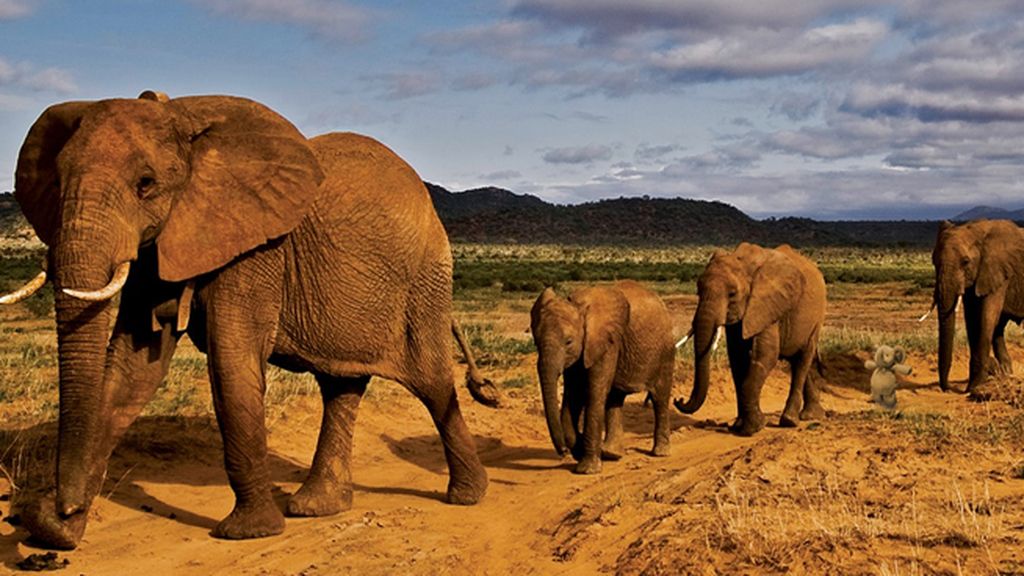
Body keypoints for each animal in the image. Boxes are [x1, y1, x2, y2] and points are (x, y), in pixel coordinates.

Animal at [3, 90, 499, 545]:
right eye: (57, 182)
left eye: (146, 184)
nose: (57, 510)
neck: (181, 118)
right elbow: (131, 369)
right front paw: (59, 534)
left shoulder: (256, 249)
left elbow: (231, 361)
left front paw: (249, 532)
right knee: (340, 386)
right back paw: (317, 507)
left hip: (425, 282)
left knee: (431, 382)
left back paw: (467, 496)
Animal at [532, 278, 675, 471]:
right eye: (536, 342)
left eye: (568, 342)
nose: (562, 451)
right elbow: (574, 394)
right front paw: (579, 449)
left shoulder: (606, 342)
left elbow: (594, 391)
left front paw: (587, 469)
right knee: (615, 398)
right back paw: (612, 453)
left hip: (665, 350)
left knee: (660, 397)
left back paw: (660, 453)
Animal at [675, 241, 827, 434]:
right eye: (698, 291)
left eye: (732, 294)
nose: (678, 400)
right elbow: (737, 359)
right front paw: (738, 426)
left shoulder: (766, 305)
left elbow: (765, 356)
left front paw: (753, 428)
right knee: (796, 361)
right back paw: (812, 415)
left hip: (817, 319)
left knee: (802, 360)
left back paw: (790, 421)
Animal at [933, 217, 1024, 391]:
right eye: (934, 262)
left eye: (965, 261)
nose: (947, 387)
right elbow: (972, 319)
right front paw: (977, 383)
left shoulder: (999, 270)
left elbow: (986, 317)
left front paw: (975, 387)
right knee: (999, 327)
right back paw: (1006, 373)